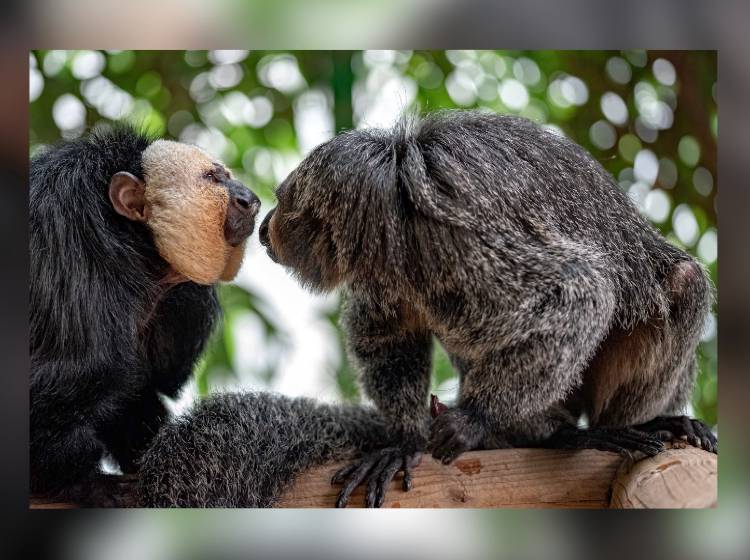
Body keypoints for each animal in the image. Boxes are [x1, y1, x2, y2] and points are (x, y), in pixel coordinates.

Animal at [30, 126, 262, 508]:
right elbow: (76, 374)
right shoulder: (71, 250)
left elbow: (143, 386)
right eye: (212, 178)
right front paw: (81, 482)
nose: (250, 199)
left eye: (227, 176)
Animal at [258, 109, 716, 508]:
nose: (264, 227)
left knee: (685, 282)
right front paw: (406, 440)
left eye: (281, 203)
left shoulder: (457, 237)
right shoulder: (385, 273)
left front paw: (474, 419)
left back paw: (600, 431)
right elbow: (389, 336)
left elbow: (580, 290)